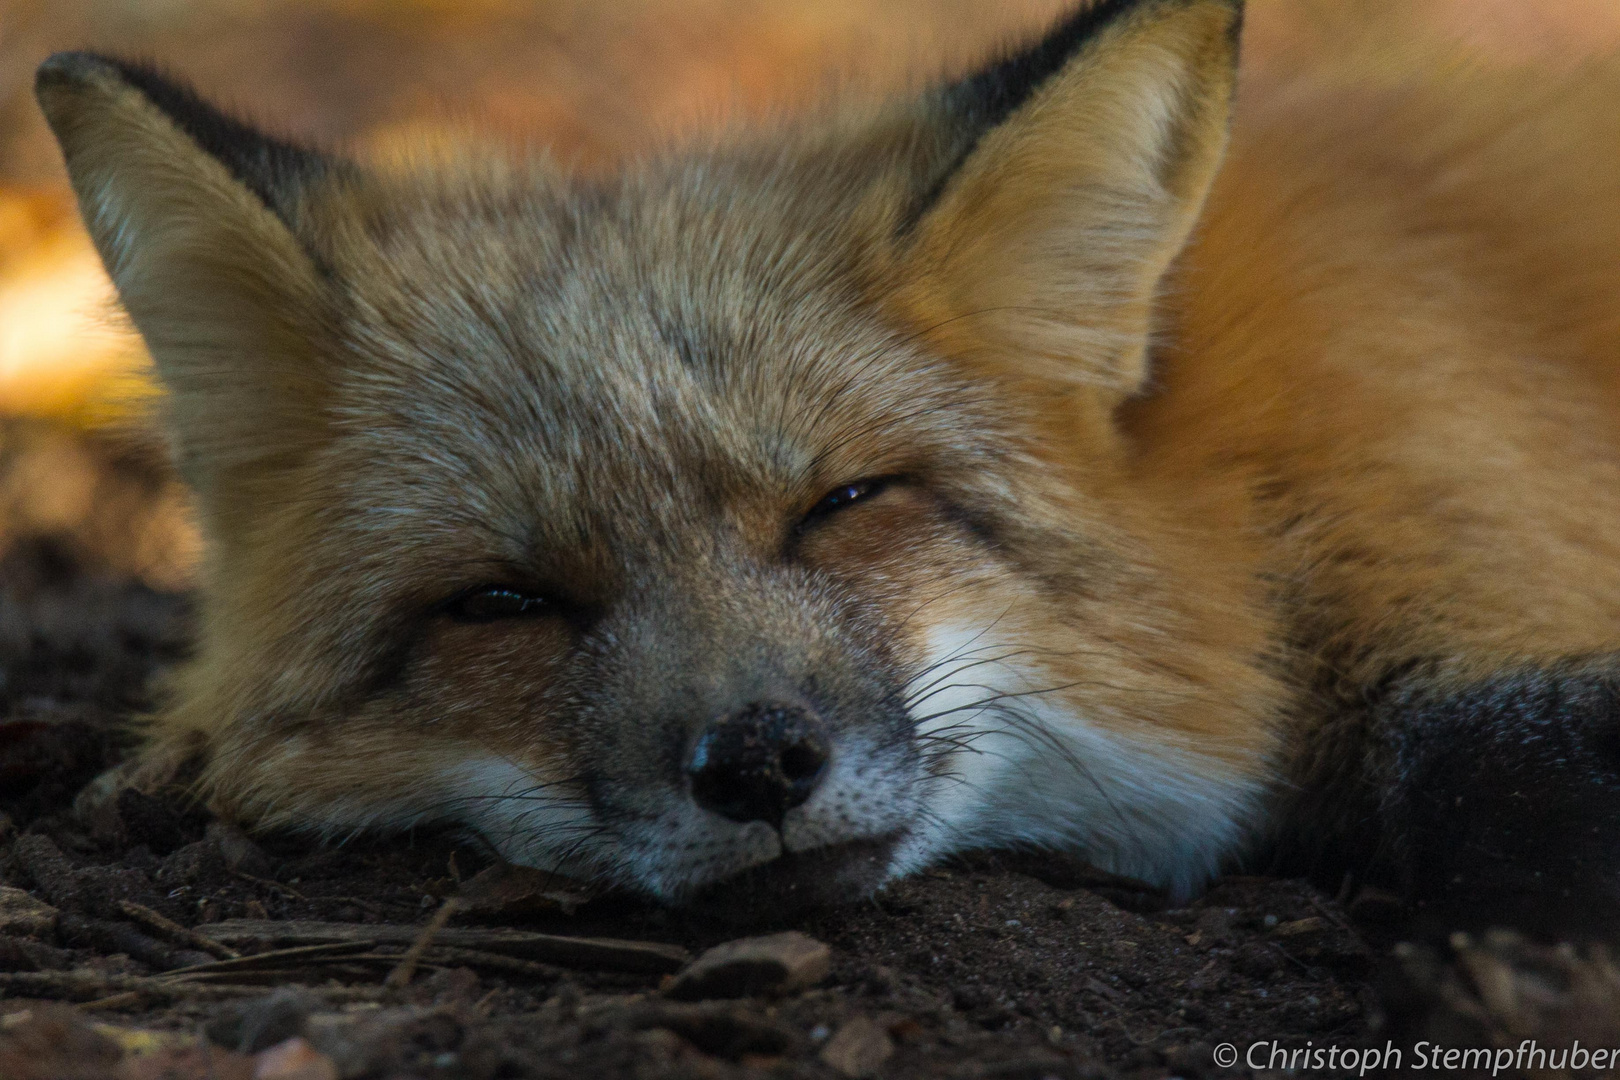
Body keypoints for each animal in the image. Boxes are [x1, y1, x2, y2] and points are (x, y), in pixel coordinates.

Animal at [28, 0, 1620, 932]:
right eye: (505, 602)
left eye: (845, 503)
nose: (760, 763)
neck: (1224, 496)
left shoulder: (1449, 489)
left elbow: (1495, 761)